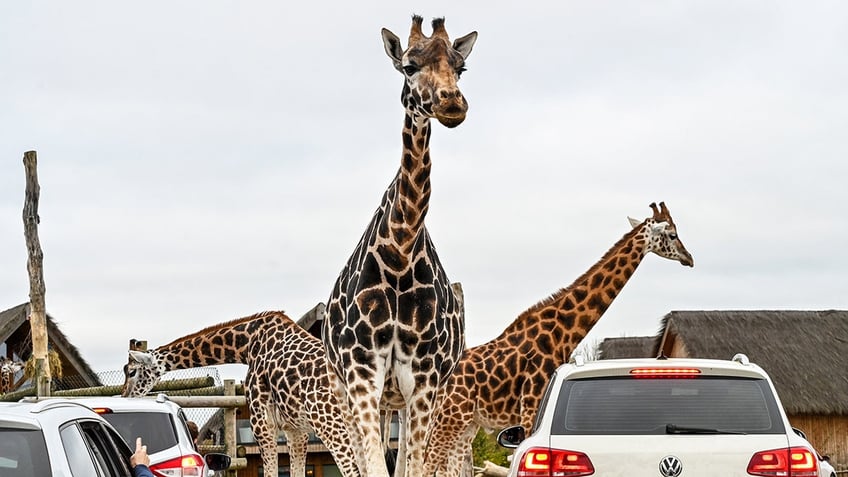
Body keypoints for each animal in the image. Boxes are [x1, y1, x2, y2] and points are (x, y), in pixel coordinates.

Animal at [121, 308, 360, 476]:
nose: (124, 397)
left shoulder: (263, 424)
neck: (246, 344)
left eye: (131, 371)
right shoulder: (295, 430)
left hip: (331, 426)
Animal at [322, 14, 476, 476]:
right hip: (349, 389)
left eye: (461, 67)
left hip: (411, 396)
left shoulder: (424, 379)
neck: (400, 250)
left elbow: (413, 466)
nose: (451, 104)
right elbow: (373, 466)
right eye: (409, 65)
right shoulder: (360, 374)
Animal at [424, 202, 696, 476]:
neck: (563, 331)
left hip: (465, 422)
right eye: (673, 234)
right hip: (449, 416)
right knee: (425, 463)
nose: (690, 258)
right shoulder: (531, 405)